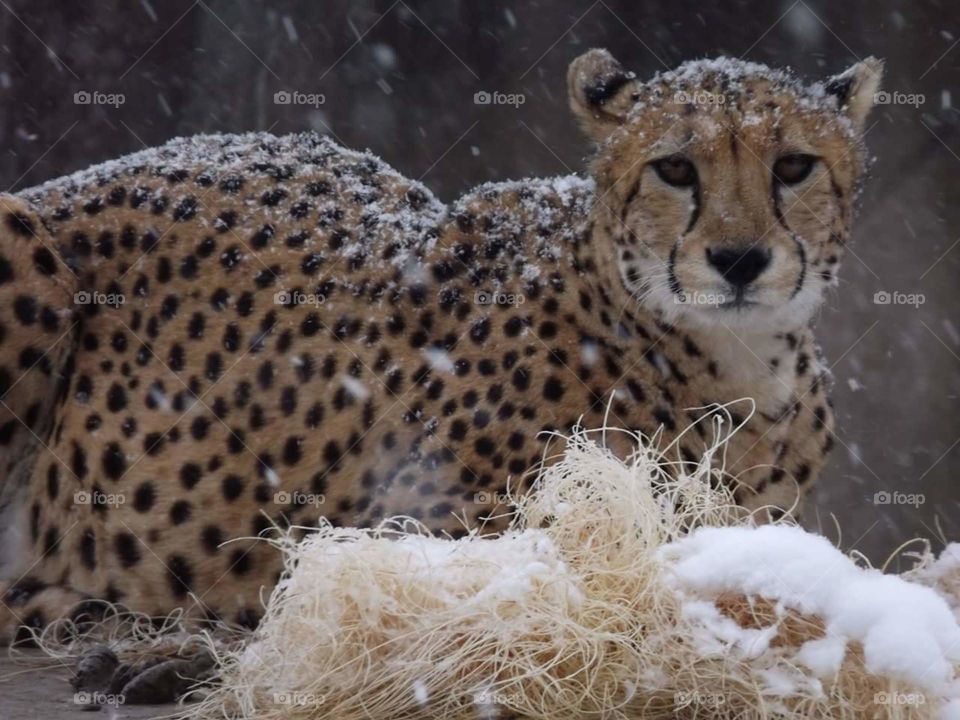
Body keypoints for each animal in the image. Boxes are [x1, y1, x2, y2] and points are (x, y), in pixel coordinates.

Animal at [0, 49, 881, 667]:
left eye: (793, 166)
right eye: (674, 167)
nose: (739, 260)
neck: (738, 368)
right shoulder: (418, 536)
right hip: (23, 242)